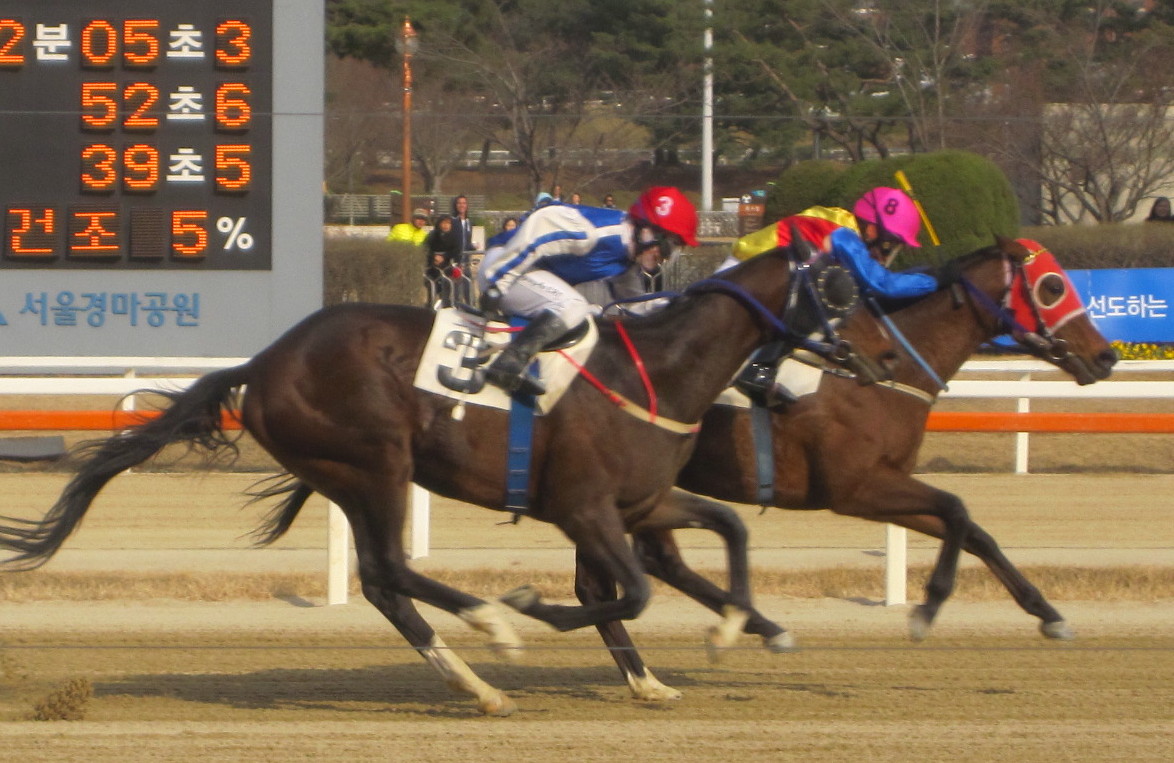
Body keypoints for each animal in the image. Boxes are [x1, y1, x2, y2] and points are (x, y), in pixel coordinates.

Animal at [0, 241, 831, 716]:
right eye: (838, 285)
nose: (845, 360)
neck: (654, 369)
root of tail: (263, 363)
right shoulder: (585, 505)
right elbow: (626, 590)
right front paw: (531, 608)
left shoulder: (641, 499)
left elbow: (716, 532)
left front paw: (705, 647)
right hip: (376, 461)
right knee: (391, 568)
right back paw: (493, 629)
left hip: (349, 472)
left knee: (383, 581)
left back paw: (479, 683)